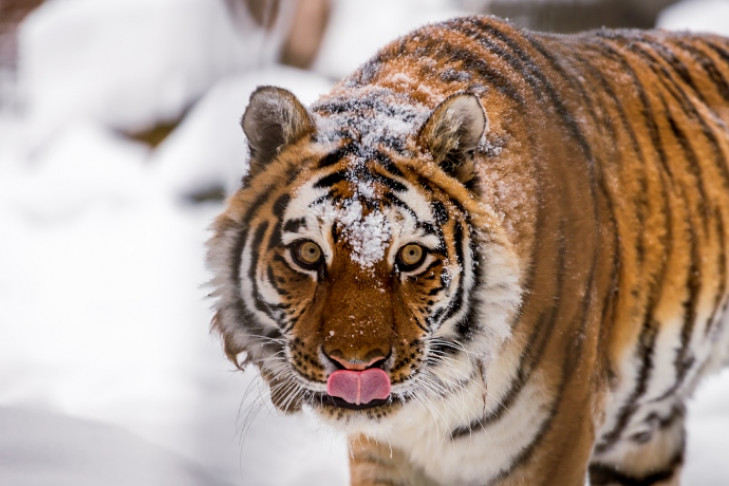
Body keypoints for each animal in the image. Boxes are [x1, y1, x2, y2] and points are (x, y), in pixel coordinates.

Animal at [203, 15, 728, 486]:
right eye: (310, 254)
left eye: (411, 257)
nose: (356, 366)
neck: (436, 401)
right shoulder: (382, 455)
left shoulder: (552, 446)